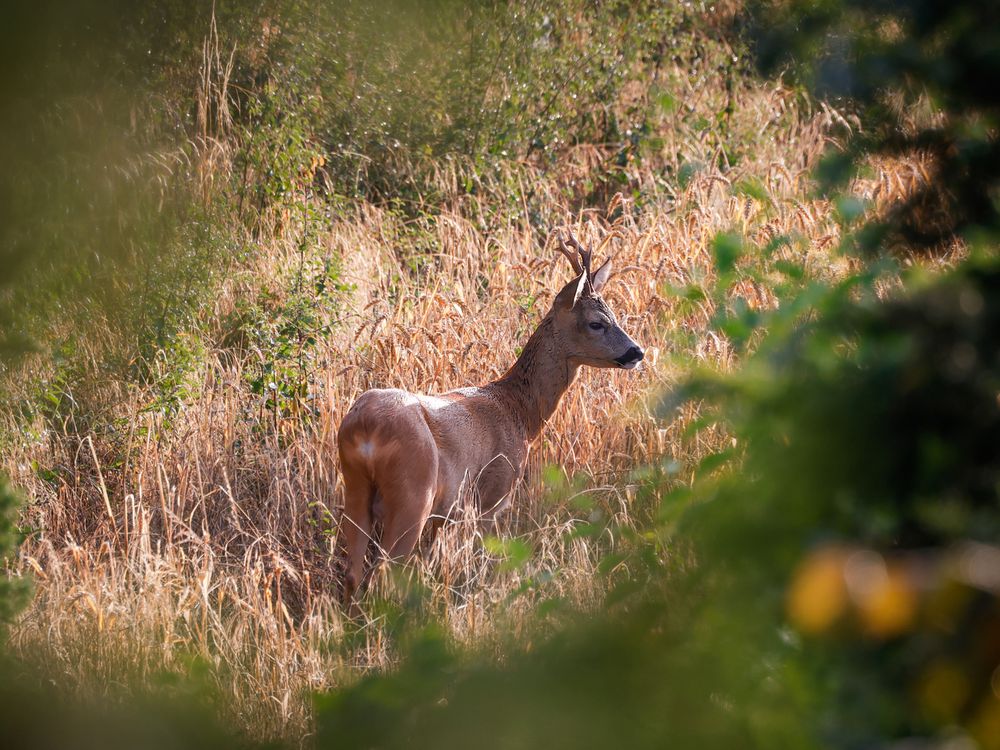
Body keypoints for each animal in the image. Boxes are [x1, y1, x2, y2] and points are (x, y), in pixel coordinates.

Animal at [340, 232, 644, 608]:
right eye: (596, 323)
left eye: (614, 314)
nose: (637, 352)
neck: (519, 413)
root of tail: (366, 428)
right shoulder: (491, 497)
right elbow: (476, 566)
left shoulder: (447, 515)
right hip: (413, 492)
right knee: (382, 575)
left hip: (355, 487)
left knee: (353, 575)